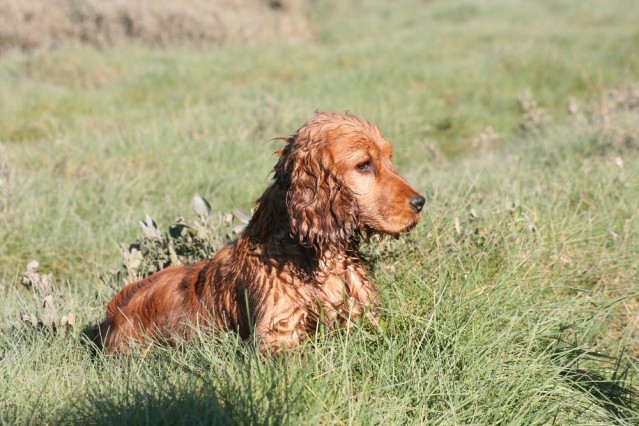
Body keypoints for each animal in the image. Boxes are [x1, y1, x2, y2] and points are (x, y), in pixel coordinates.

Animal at [101, 112, 424, 352]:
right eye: (364, 165)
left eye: (389, 158)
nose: (420, 202)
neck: (319, 258)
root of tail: (114, 313)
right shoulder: (277, 335)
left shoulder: (365, 315)